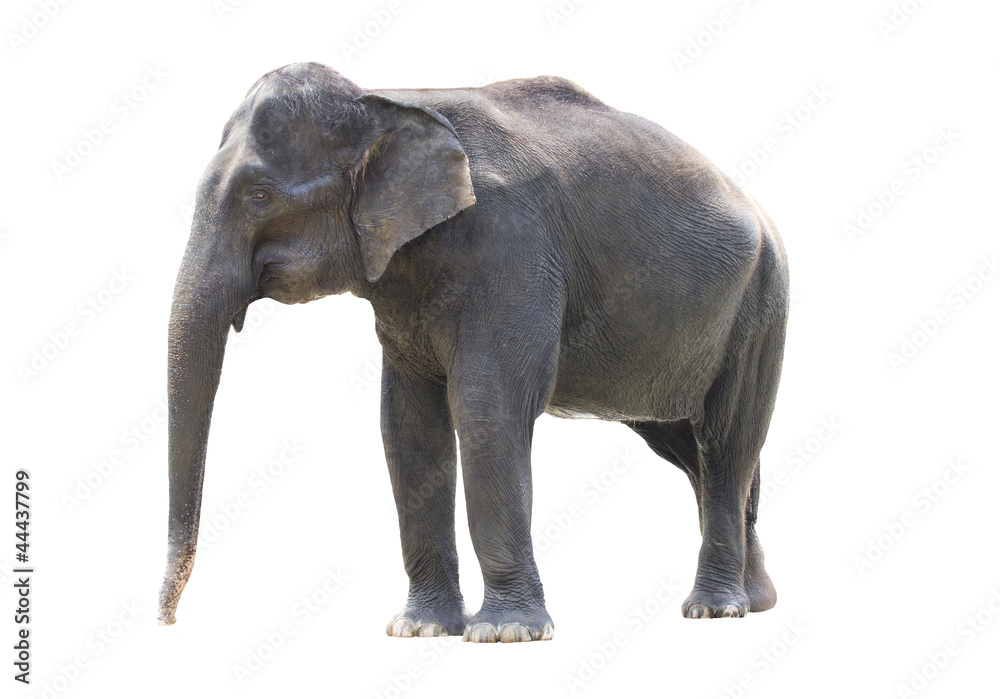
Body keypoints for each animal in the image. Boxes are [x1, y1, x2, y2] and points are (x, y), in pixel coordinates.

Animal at [158, 62, 789, 642]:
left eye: (259, 196)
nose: (167, 621)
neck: (387, 100)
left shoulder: (511, 245)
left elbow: (486, 407)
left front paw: (505, 633)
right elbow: (408, 424)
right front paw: (420, 629)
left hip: (761, 306)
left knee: (725, 441)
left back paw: (714, 611)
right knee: (693, 451)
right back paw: (756, 602)